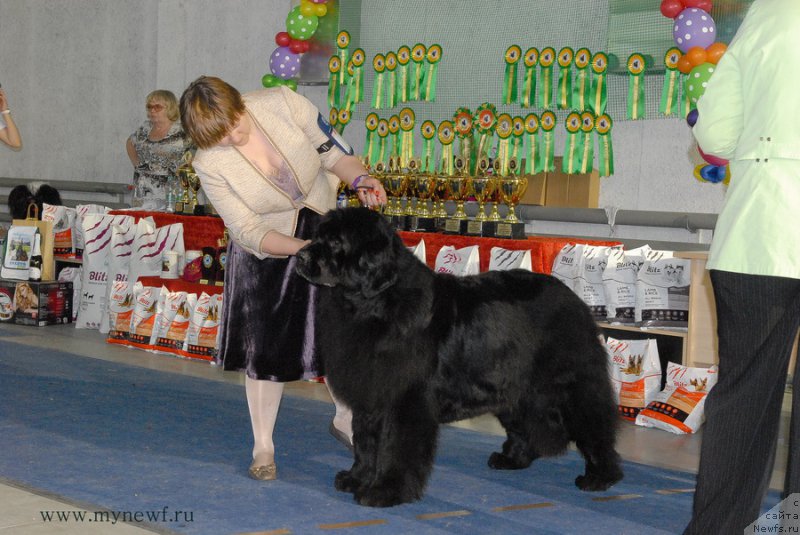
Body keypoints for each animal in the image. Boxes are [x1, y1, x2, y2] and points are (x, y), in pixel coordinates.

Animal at [296, 207, 620, 508]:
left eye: (336, 241)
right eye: (318, 236)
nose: (299, 256)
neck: (373, 305)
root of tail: (576, 300)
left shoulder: (405, 401)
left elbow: (394, 448)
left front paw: (384, 491)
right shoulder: (371, 392)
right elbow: (365, 442)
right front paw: (356, 478)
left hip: (572, 386)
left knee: (596, 426)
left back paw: (600, 476)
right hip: (511, 386)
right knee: (524, 424)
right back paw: (512, 459)